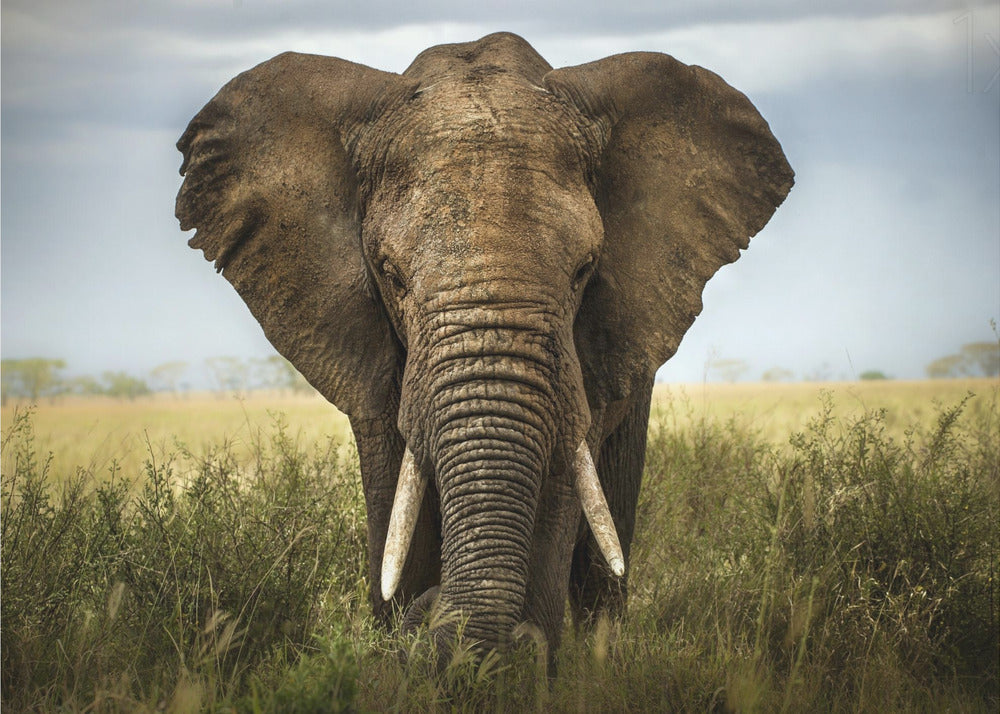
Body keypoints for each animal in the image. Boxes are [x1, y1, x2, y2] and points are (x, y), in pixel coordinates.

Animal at [176, 29, 792, 660]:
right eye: (391, 274)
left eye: (584, 270)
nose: (431, 615)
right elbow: (396, 499)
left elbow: (559, 485)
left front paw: (517, 660)